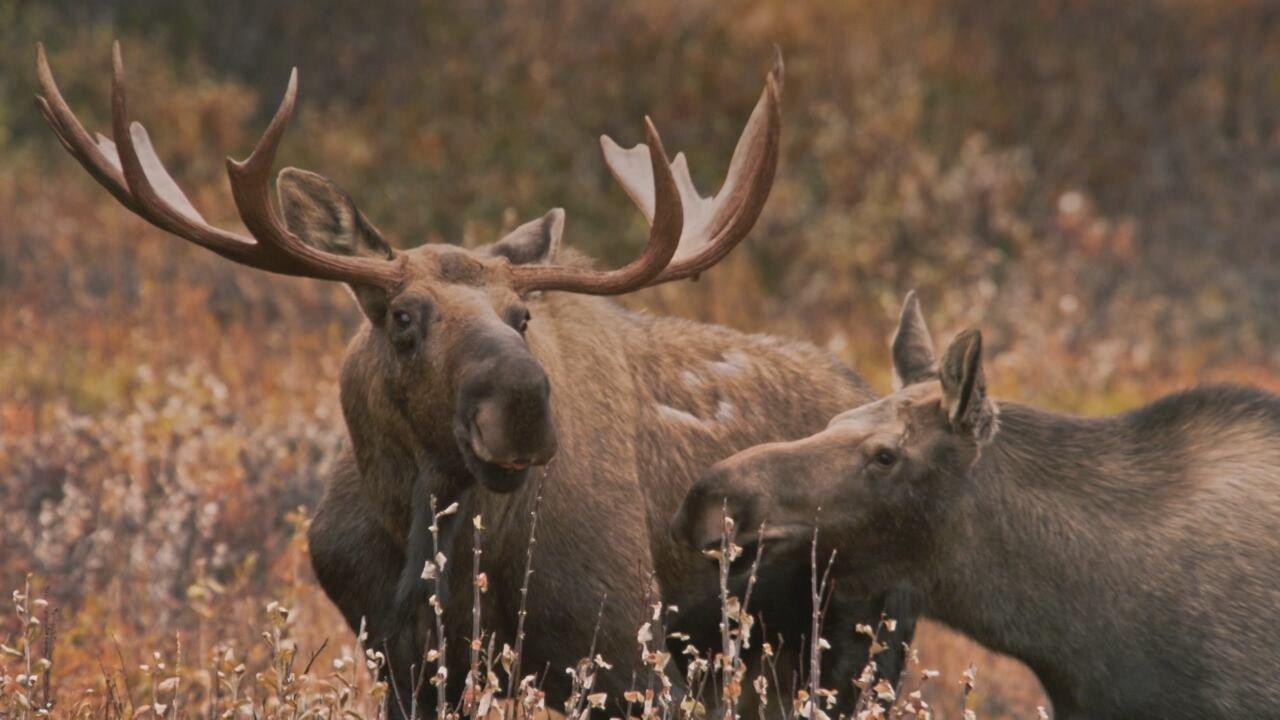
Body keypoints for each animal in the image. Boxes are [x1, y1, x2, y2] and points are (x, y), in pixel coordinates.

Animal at [37, 43, 921, 712]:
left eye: (521, 314)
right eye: (403, 316)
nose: (523, 407)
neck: (436, 539)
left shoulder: (622, 648)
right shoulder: (404, 660)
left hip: (860, 642)